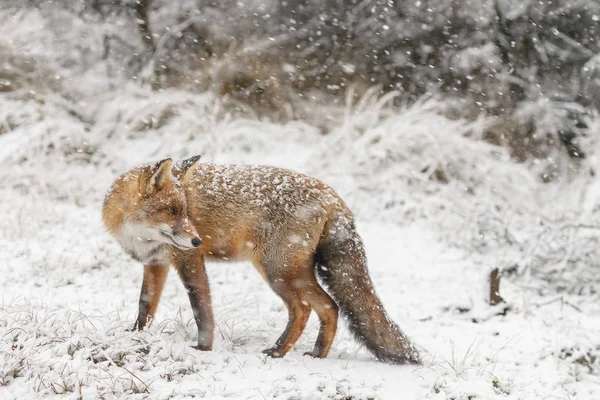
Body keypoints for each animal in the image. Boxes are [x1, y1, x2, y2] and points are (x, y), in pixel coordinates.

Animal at [103, 158, 420, 364]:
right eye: (171, 211)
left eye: (185, 211)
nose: (198, 241)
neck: (139, 235)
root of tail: (332, 195)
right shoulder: (155, 263)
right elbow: (145, 305)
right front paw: (136, 336)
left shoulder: (190, 261)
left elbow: (201, 309)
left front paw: (203, 349)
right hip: (297, 272)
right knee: (330, 307)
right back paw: (318, 355)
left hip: (276, 272)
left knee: (302, 309)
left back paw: (277, 352)